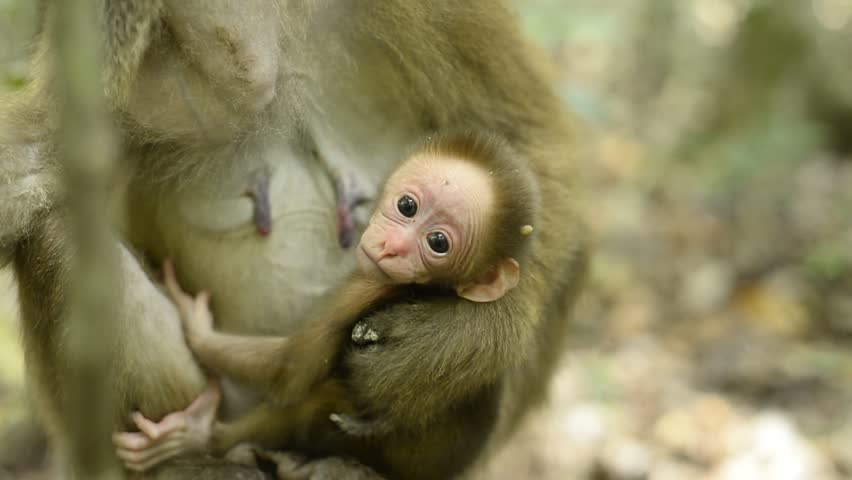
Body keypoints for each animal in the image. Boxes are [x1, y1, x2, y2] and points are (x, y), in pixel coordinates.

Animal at [112, 131, 540, 475]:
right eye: (407, 206)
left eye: (438, 243)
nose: (392, 247)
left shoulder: (362, 288)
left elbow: (288, 372)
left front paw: (196, 325)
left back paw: (199, 437)